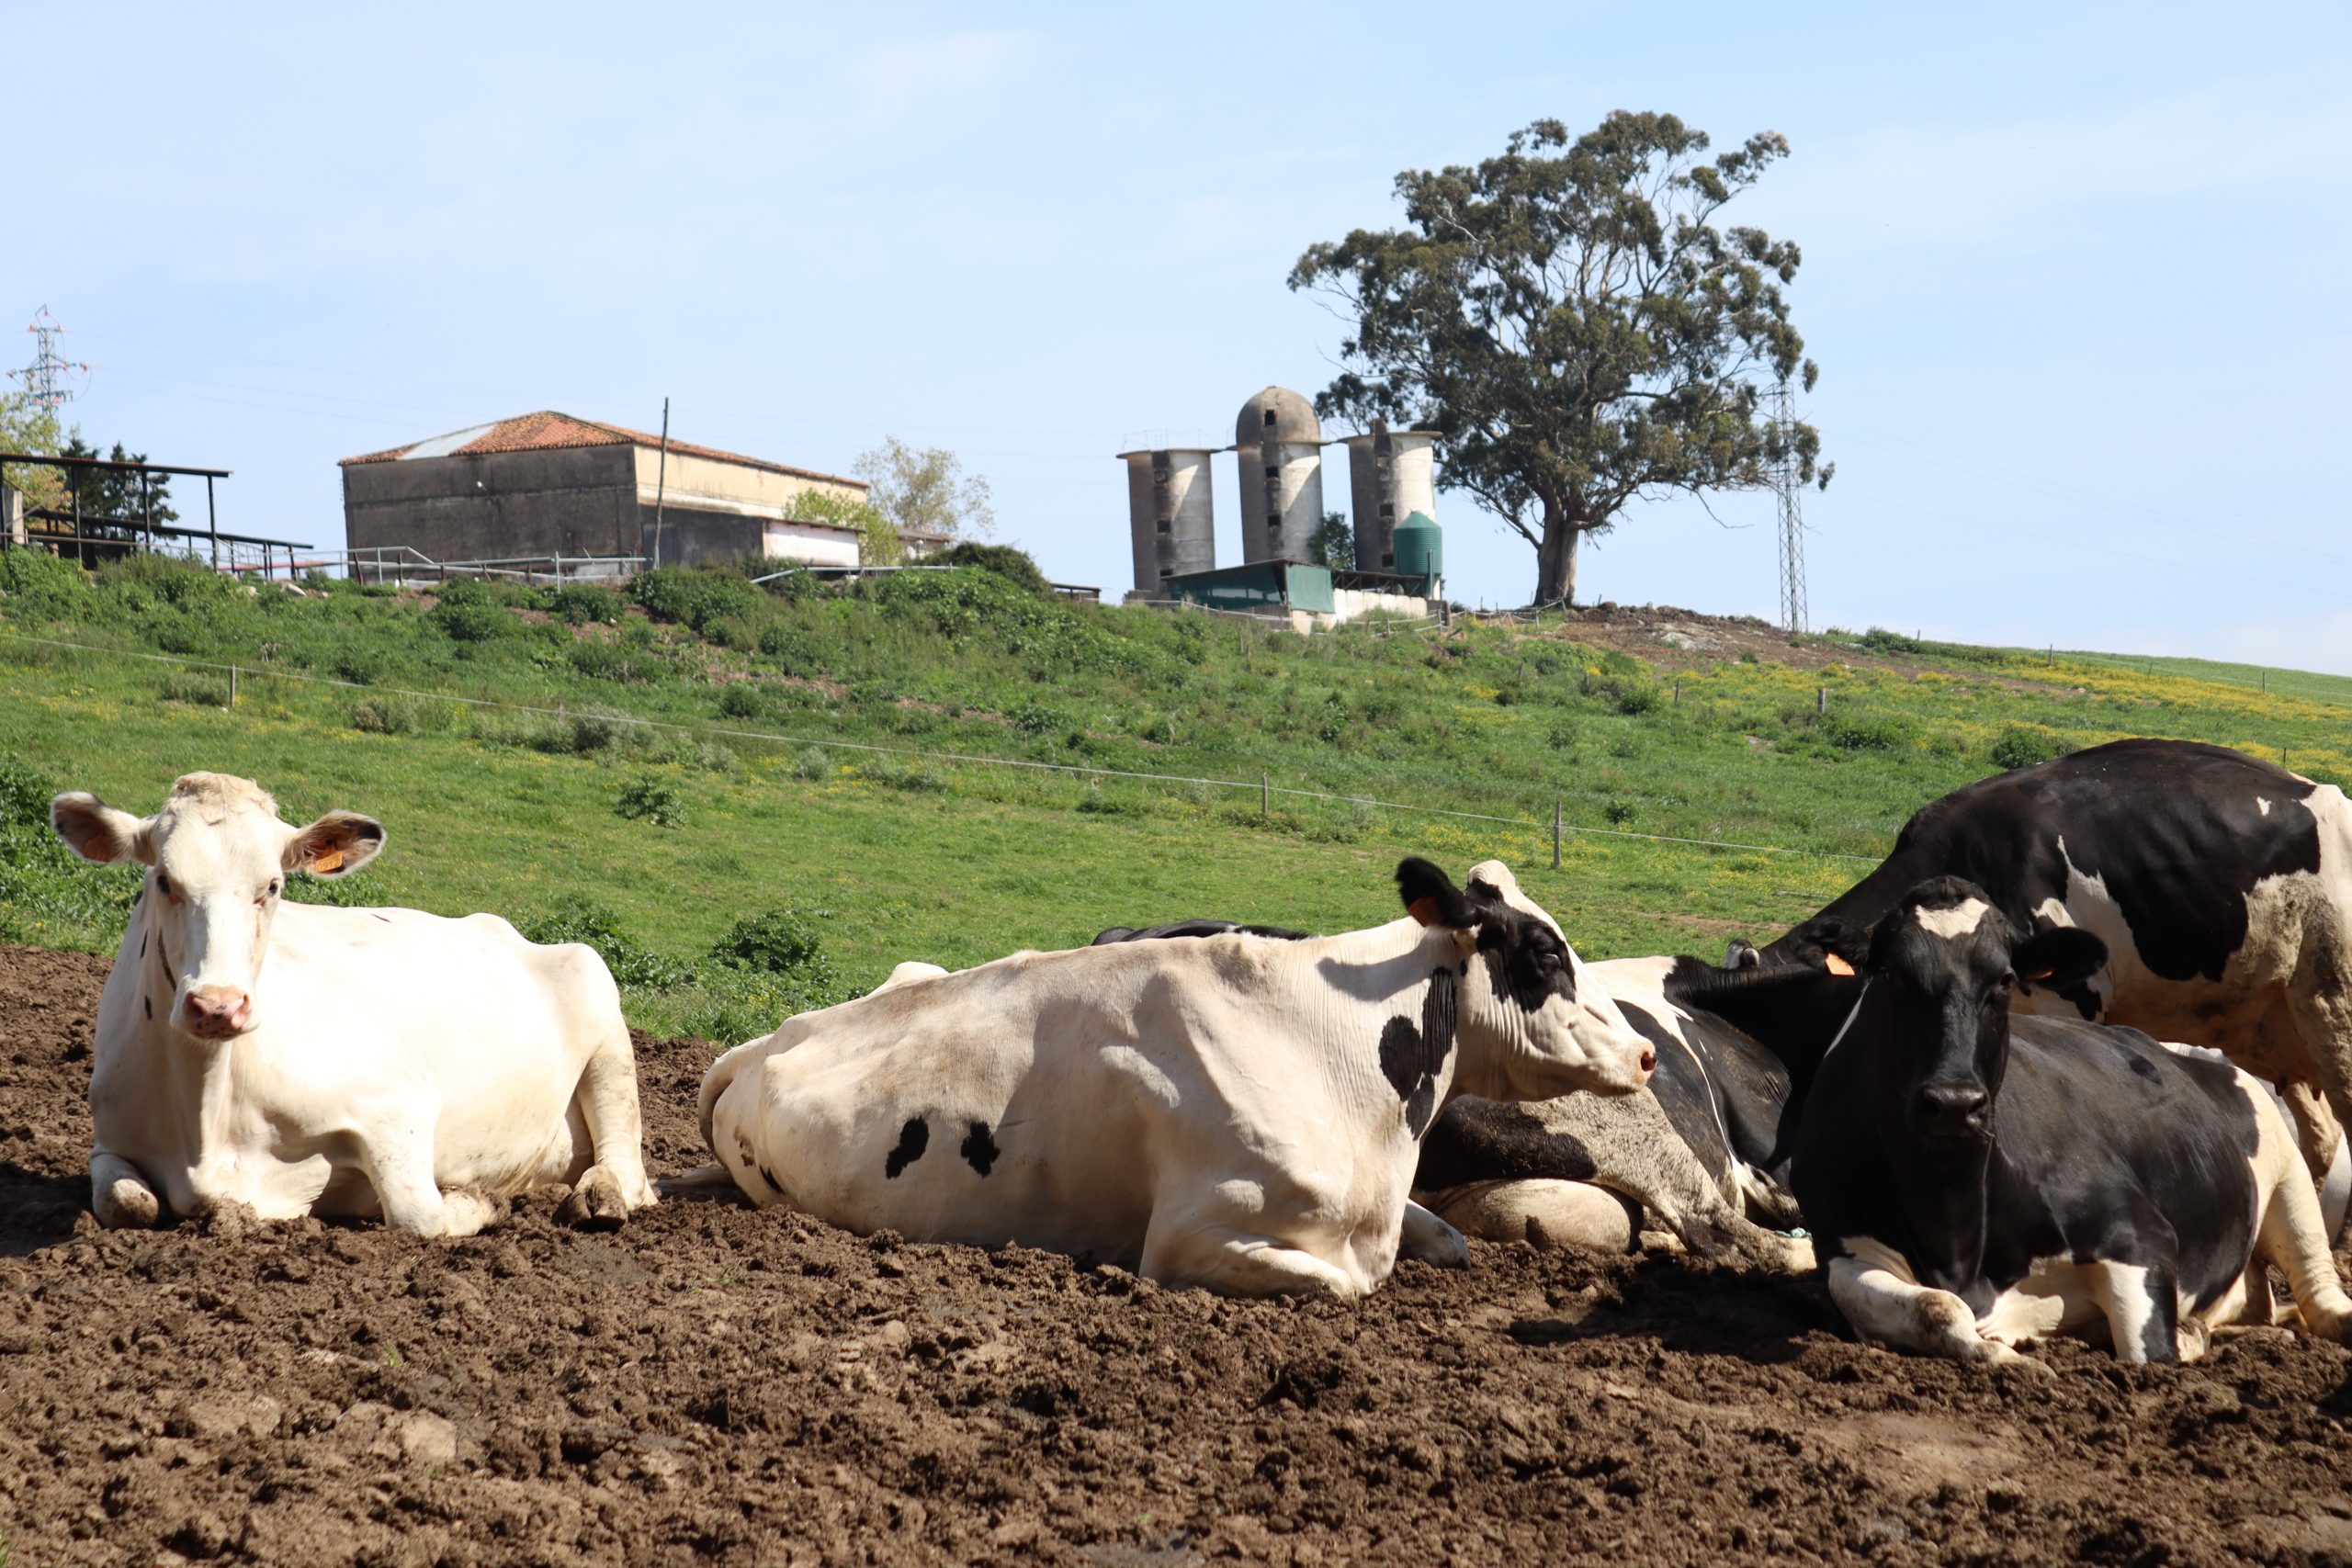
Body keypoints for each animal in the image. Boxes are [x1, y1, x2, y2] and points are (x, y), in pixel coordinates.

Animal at [51, 773, 656, 1236]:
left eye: (273, 885)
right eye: (164, 880)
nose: (218, 1006)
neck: (206, 1119)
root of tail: (500, 926)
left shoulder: (397, 1101)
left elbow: (418, 1215)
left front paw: (480, 1199)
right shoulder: (109, 1138)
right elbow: (126, 1201)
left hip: (599, 1001)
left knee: (624, 1155)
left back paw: (599, 1194)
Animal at [697, 857, 1654, 1297]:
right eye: (1544, 954)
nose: (1647, 1052)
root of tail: (766, 1038)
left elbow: (1451, 1239)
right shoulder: (1192, 1237)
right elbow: (1345, 1281)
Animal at [1794, 875, 2352, 1367]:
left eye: (2004, 981)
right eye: (1892, 976)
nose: (1954, 1102)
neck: (1954, 1224)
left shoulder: (2140, 1236)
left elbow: (2146, 1355)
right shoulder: (1847, 1252)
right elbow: (1940, 1307)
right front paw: (2010, 1357)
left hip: (2286, 1170)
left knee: (2319, 1290)